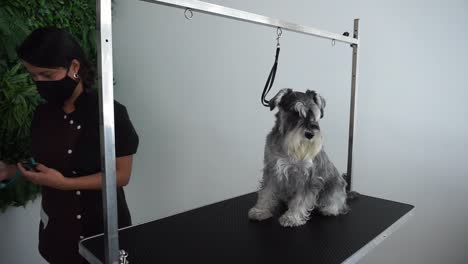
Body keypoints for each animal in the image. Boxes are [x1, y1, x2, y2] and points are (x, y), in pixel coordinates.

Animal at [249, 88, 352, 227]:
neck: (288, 148)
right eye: (295, 112)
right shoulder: (271, 170)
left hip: (335, 187)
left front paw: (292, 217)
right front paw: (260, 211)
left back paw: (329, 209)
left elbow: (300, 200)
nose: (310, 134)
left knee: (337, 202)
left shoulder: (308, 177)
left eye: (315, 115)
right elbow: (266, 192)